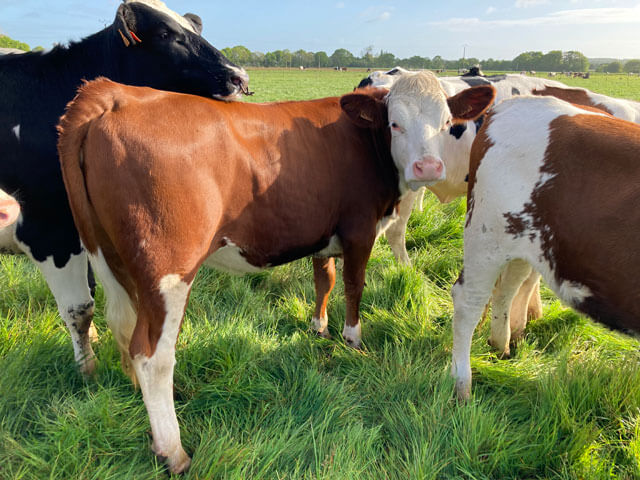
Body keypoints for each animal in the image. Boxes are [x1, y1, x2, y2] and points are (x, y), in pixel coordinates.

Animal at [0, 0, 250, 376]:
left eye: (194, 29)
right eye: (165, 34)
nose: (239, 78)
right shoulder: (48, 231)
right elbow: (79, 307)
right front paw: (87, 370)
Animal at [56, 72, 495, 472]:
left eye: (446, 123)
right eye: (394, 123)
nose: (428, 167)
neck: (364, 143)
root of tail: (115, 93)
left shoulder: (322, 231)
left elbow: (324, 279)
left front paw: (319, 327)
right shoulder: (359, 229)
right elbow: (354, 285)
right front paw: (353, 340)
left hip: (111, 259)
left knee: (124, 327)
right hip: (167, 270)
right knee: (152, 355)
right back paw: (173, 450)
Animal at [451, 95, 640, 400]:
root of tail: (515, 102)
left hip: (523, 243)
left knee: (507, 290)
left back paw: (501, 347)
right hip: (486, 236)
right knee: (468, 301)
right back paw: (461, 386)